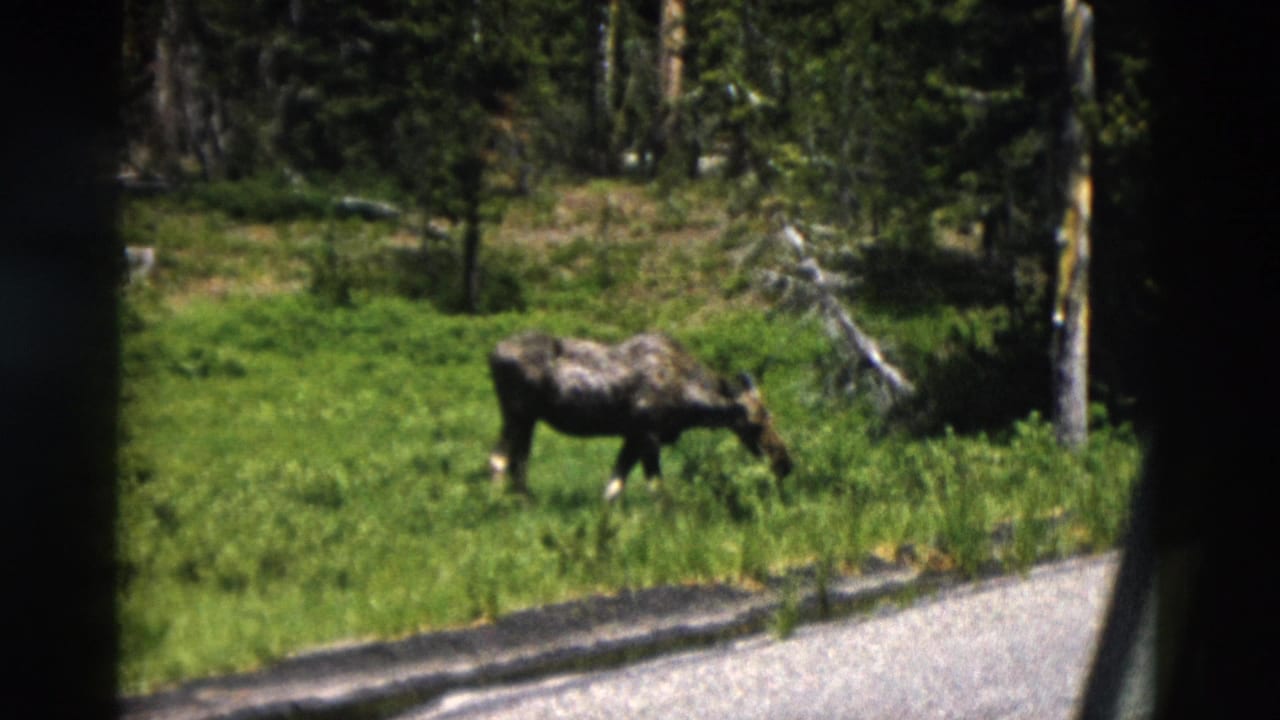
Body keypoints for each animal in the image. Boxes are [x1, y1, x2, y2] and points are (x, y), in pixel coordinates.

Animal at [487, 331, 792, 501]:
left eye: (772, 417)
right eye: (754, 424)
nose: (785, 464)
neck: (690, 402)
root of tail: (491, 354)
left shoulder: (632, 437)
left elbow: (612, 490)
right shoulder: (647, 436)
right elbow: (658, 490)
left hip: (527, 419)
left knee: (518, 463)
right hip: (516, 413)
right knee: (499, 459)